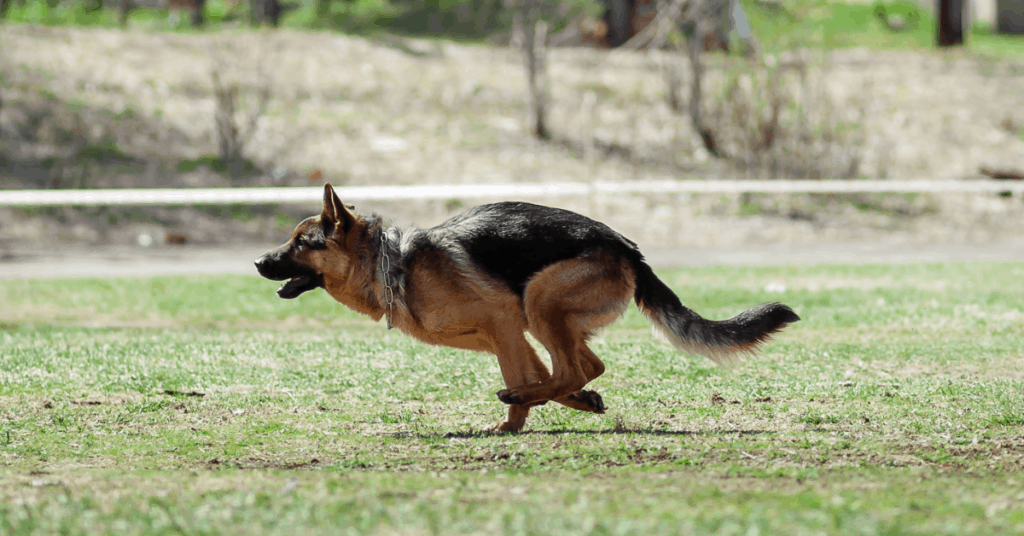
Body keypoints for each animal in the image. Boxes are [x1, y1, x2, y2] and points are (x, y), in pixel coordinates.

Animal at [256, 183, 798, 432]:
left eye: (301, 243)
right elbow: (543, 375)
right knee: (585, 365)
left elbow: (527, 376)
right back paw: (571, 397)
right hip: (544, 317)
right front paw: (554, 407)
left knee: (574, 366)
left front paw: (512, 420)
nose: (259, 261)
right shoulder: (509, 334)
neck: (394, 264)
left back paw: (525, 397)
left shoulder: (503, 322)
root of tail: (628, 248)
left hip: (539, 300)